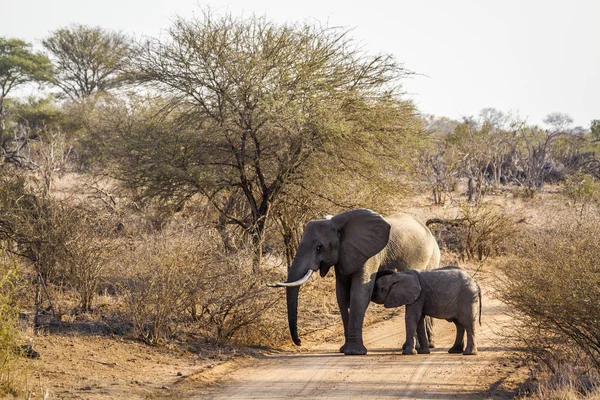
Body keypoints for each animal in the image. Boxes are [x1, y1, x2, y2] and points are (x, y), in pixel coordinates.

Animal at [268, 208, 440, 354]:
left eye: (319, 247)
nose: (299, 342)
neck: (338, 223)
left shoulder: (370, 255)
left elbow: (359, 294)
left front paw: (354, 352)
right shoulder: (343, 255)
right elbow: (342, 296)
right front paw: (344, 350)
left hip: (432, 258)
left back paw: (423, 346)